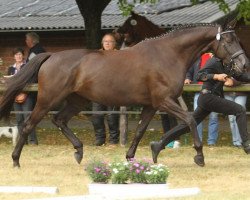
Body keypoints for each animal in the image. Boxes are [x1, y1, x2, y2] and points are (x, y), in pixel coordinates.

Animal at [0, 23, 247, 168]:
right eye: (229, 40)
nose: (243, 65)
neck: (168, 55)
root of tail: (51, 56)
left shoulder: (151, 105)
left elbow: (139, 131)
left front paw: (132, 158)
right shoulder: (163, 101)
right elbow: (188, 120)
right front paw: (199, 156)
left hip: (77, 100)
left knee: (59, 119)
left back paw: (79, 152)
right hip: (47, 100)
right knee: (28, 125)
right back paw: (16, 161)